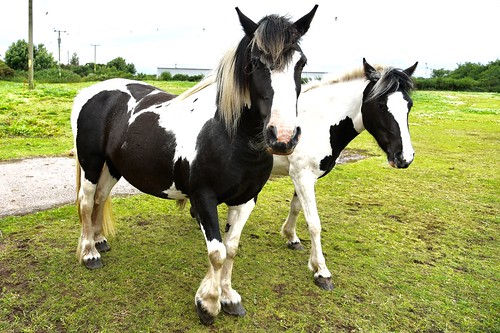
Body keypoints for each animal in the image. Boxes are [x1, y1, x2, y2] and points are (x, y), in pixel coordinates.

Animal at [70, 5, 316, 324]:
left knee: (100, 198)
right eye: (254, 63)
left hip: (113, 167)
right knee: (87, 201)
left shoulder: (246, 199)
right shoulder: (203, 198)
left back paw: (100, 240)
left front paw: (228, 297)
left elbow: (231, 248)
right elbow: (217, 252)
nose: (283, 137)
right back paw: (90, 253)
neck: (229, 134)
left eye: (302, 62)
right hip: (91, 162)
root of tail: (91, 92)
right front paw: (208, 303)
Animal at [228, 58, 418, 290]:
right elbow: (314, 223)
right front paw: (321, 270)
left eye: (409, 105)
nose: (405, 157)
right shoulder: (303, 177)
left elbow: (296, 208)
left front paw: (291, 238)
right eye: (381, 105)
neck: (316, 122)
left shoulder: (301, 177)